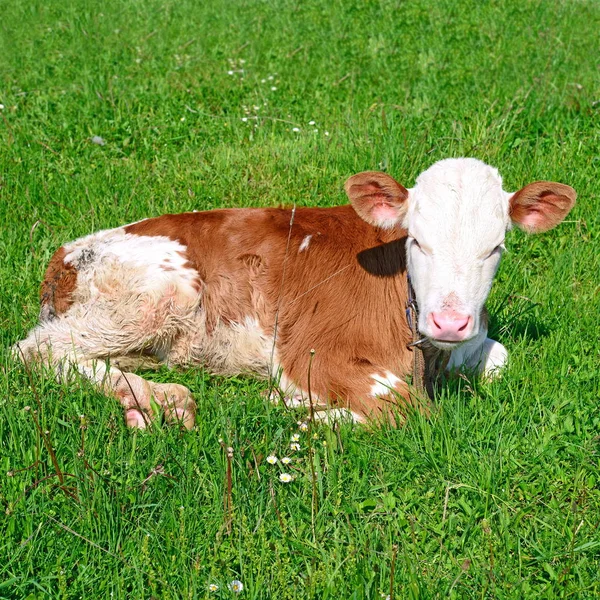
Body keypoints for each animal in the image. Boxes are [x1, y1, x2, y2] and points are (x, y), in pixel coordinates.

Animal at [14, 159, 576, 426]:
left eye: (496, 247)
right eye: (417, 238)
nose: (450, 322)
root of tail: (65, 252)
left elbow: (499, 357)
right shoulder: (310, 348)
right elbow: (404, 406)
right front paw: (291, 405)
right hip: (156, 292)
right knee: (35, 351)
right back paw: (164, 399)